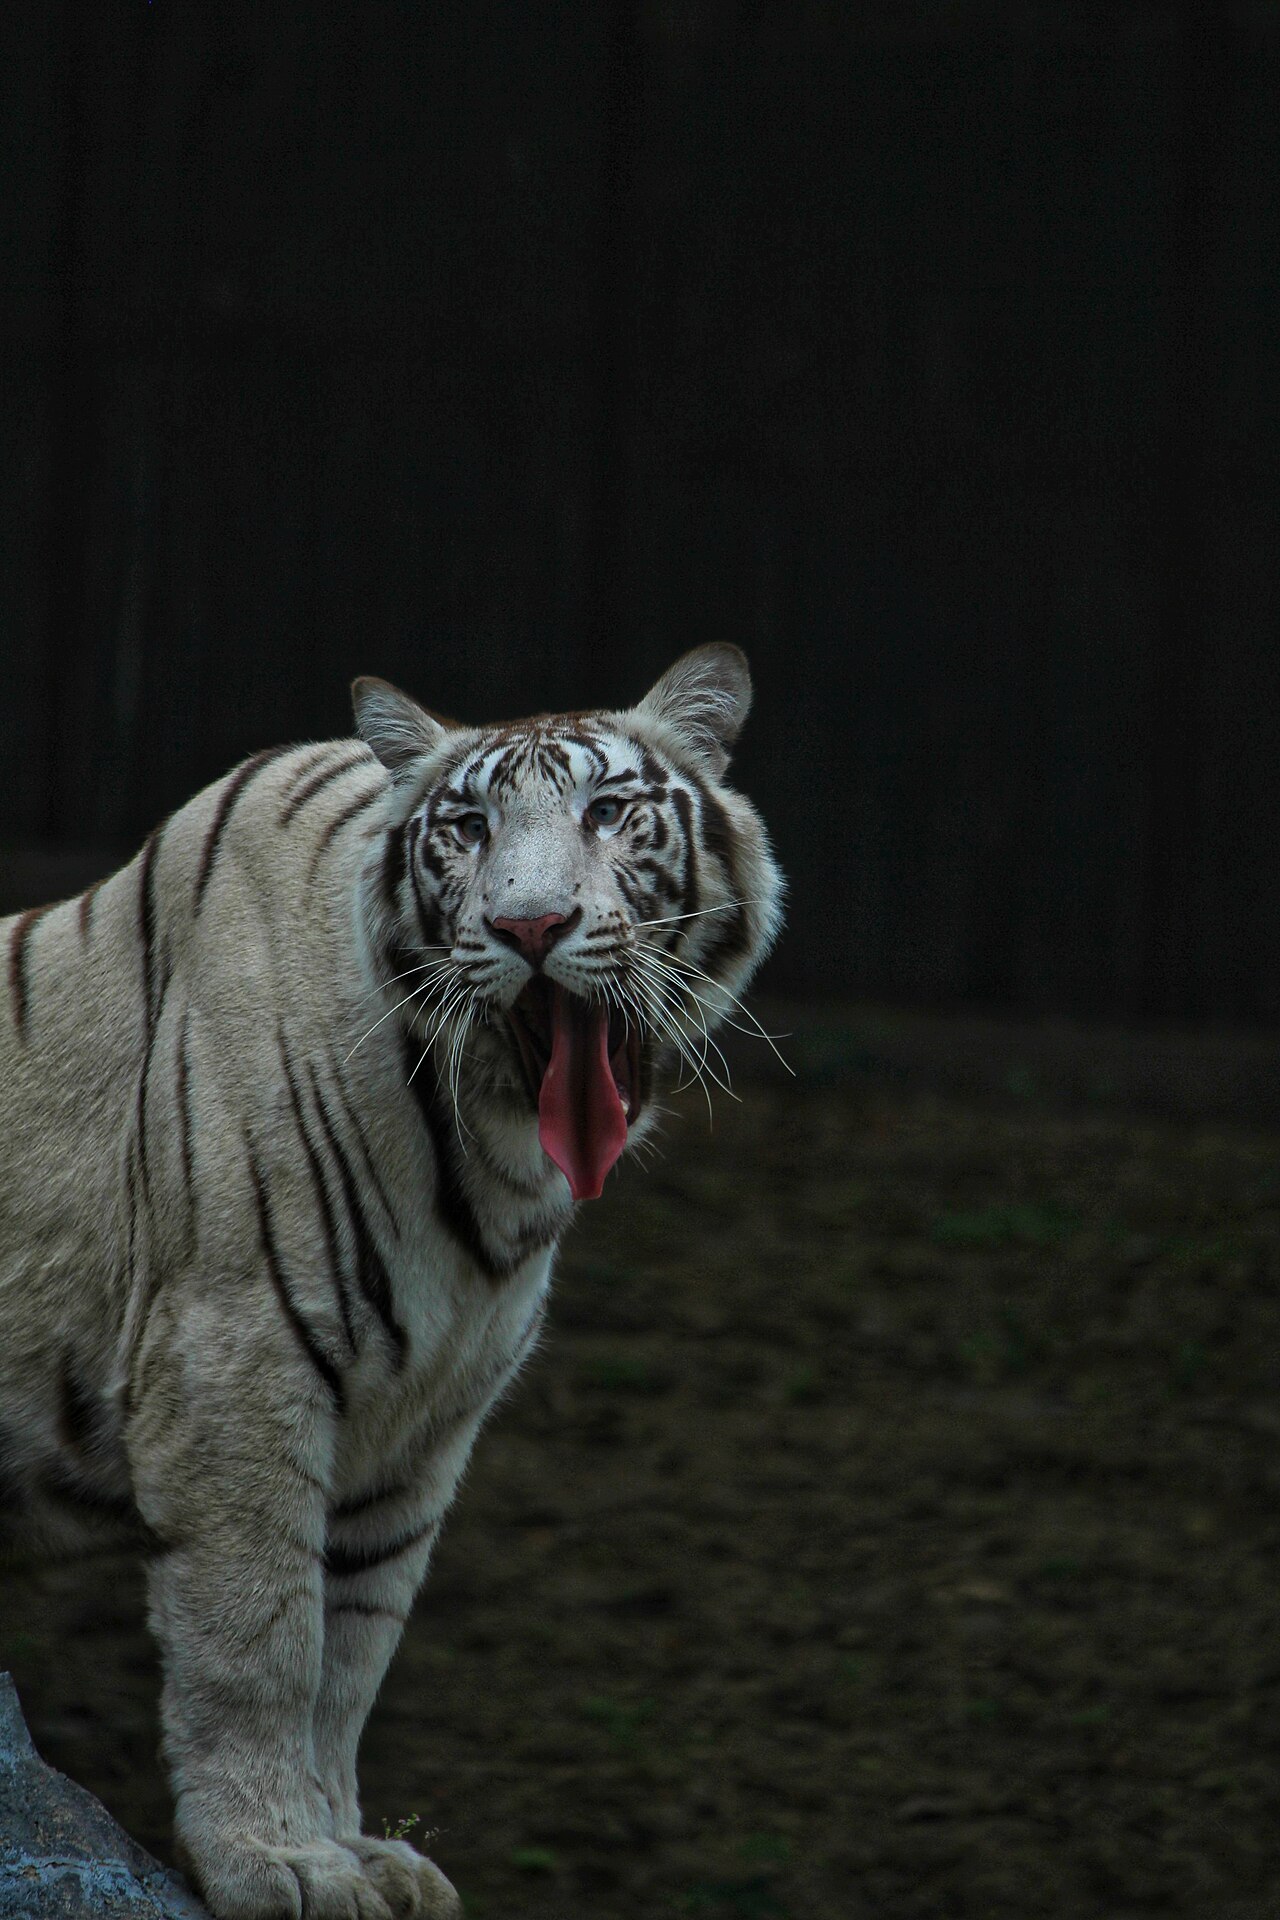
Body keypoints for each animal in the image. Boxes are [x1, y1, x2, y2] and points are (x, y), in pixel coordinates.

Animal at [0, 642, 784, 1920]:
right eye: (465, 828)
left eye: (606, 812)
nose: (529, 925)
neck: (494, 1154)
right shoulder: (232, 1368)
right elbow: (259, 1640)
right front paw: (269, 1861)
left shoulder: (421, 1422)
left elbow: (350, 1651)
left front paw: (351, 1850)